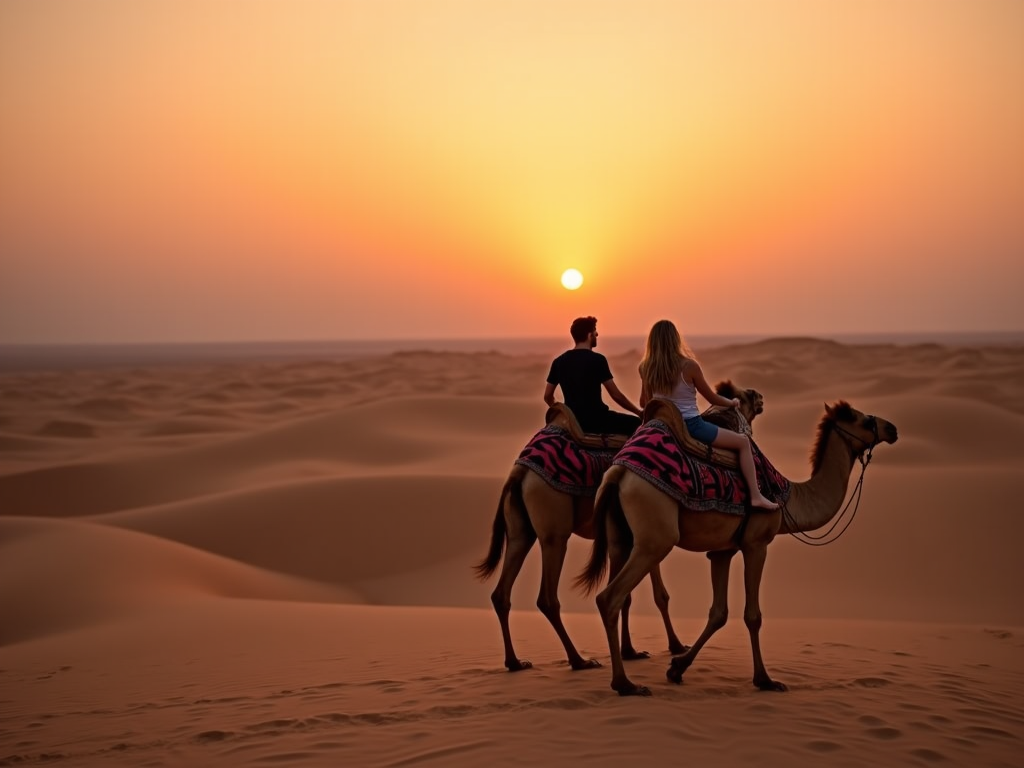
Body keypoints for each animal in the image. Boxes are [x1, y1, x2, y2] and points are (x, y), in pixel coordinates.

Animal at [471, 382, 761, 671]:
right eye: (747, 396)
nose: (760, 396)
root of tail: (520, 473)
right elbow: (645, 594)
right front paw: (670, 647)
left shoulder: (632, 533)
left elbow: (644, 596)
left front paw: (636, 650)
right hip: (554, 527)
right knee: (547, 596)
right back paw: (579, 660)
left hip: (521, 530)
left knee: (502, 592)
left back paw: (515, 662)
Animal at [577, 403, 897, 696]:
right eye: (861, 419)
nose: (892, 428)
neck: (788, 496)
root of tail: (618, 474)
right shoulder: (756, 543)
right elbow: (752, 616)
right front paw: (765, 680)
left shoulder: (722, 551)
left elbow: (718, 613)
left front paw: (677, 667)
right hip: (655, 538)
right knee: (610, 598)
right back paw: (625, 684)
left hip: (620, 539)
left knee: (617, 592)